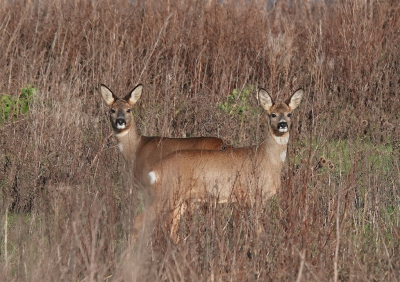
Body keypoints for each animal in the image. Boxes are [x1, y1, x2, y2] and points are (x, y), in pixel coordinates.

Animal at [144, 87, 304, 240]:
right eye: (273, 114)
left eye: (289, 114)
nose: (283, 124)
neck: (267, 158)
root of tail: (155, 171)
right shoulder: (254, 194)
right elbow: (258, 229)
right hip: (169, 194)